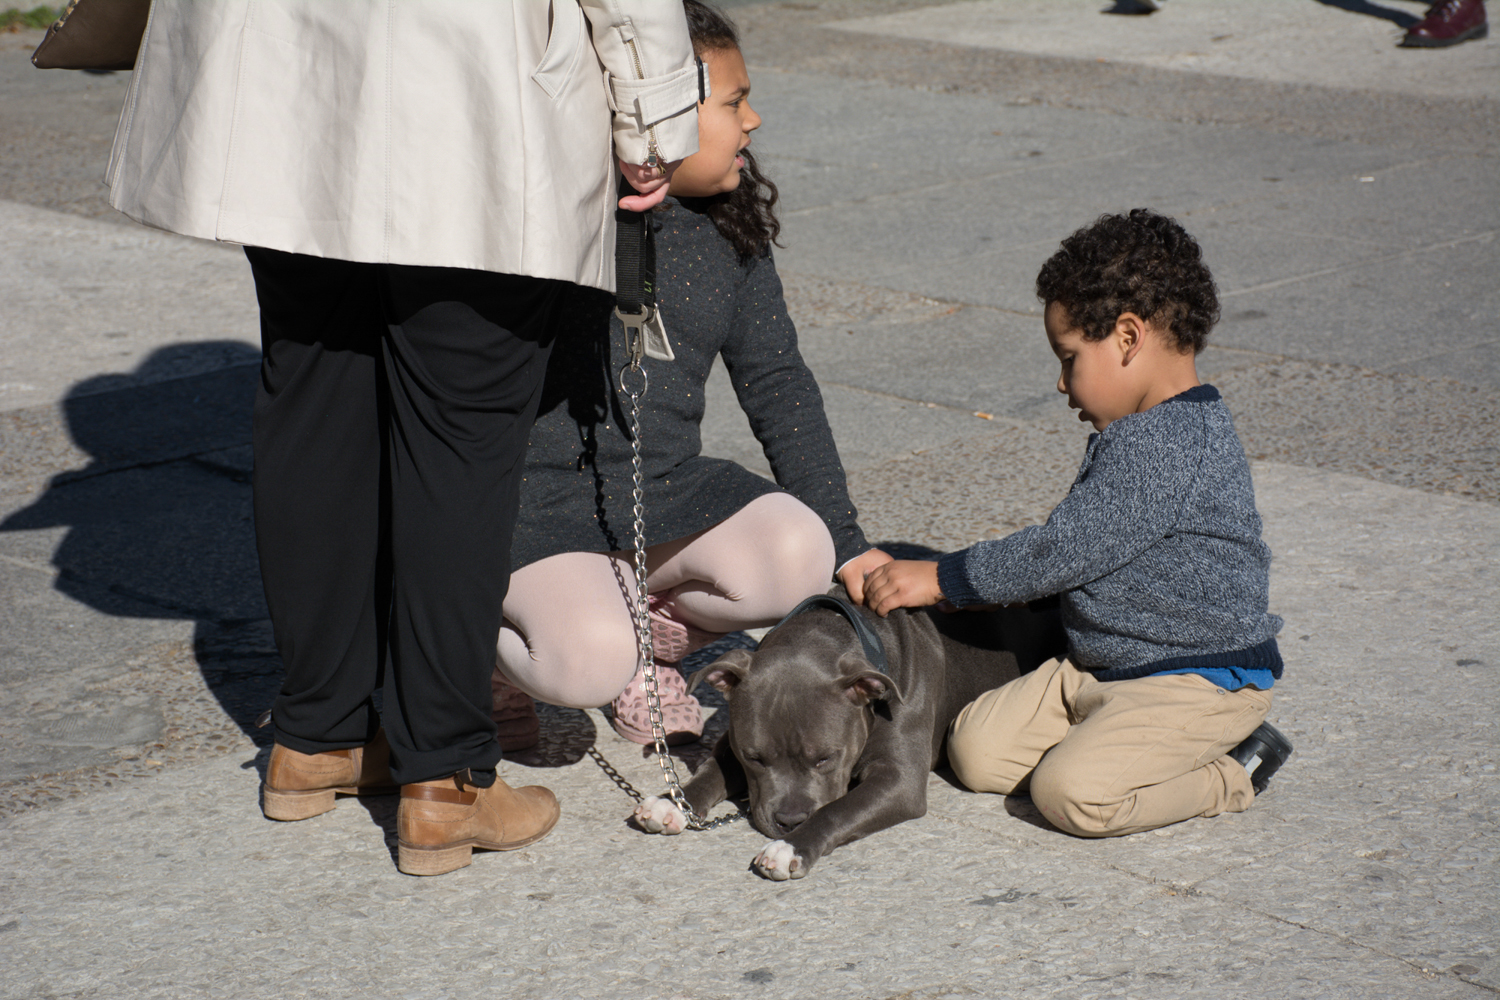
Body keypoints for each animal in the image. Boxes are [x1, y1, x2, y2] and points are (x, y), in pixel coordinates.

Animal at [633, 590, 1068, 881]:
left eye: (825, 757)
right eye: (755, 758)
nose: (789, 821)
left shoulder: (899, 779)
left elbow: (837, 809)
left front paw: (792, 846)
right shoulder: (733, 741)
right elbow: (712, 769)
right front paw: (674, 802)